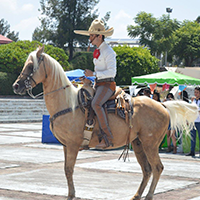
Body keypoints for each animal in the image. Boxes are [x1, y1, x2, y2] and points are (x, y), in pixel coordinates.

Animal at [12, 45, 198, 200]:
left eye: (31, 66)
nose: (16, 86)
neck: (68, 104)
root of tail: (162, 105)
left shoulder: (72, 145)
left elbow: (69, 169)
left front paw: (71, 195)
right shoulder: (66, 146)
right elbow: (66, 170)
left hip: (150, 143)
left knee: (157, 167)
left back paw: (149, 196)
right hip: (138, 142)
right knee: (147, 170)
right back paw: (136, 196)